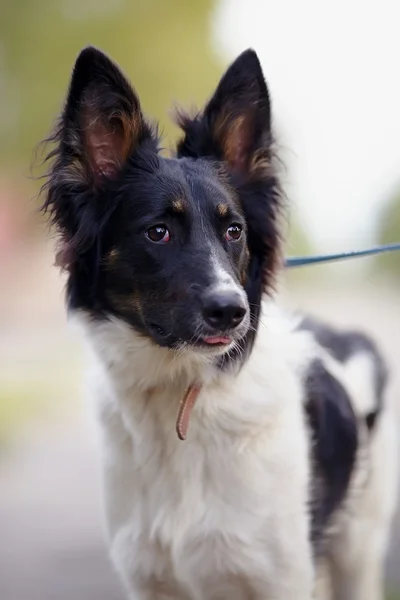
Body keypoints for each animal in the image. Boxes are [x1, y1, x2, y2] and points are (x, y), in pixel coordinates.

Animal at [40, 44, 396, 596]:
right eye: (158, 231)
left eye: (234, 230)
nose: (233, 312)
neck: (180, 391)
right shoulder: (150, 579)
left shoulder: (280, 578)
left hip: (357, 550)